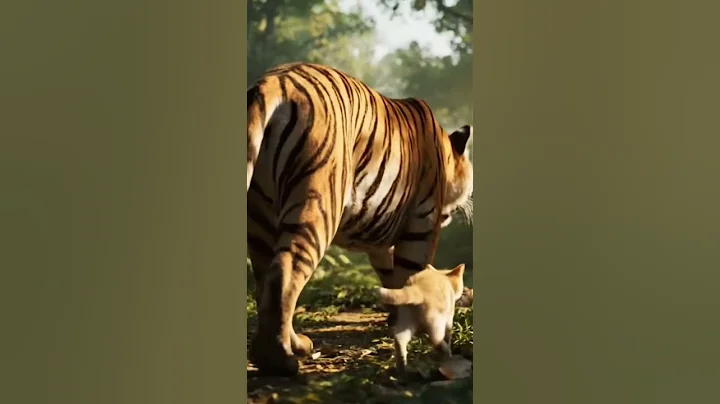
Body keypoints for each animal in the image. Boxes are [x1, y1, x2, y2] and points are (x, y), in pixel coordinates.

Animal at [246, 62, 473, 376]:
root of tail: (273, 81)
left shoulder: (383, 243)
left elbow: (395, 279)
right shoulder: (422, 224)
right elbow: (414, 274)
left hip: (261, 216)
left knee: (265, 279)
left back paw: (294, 345)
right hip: (318, 203)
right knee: (285, 271)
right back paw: (279, 358)